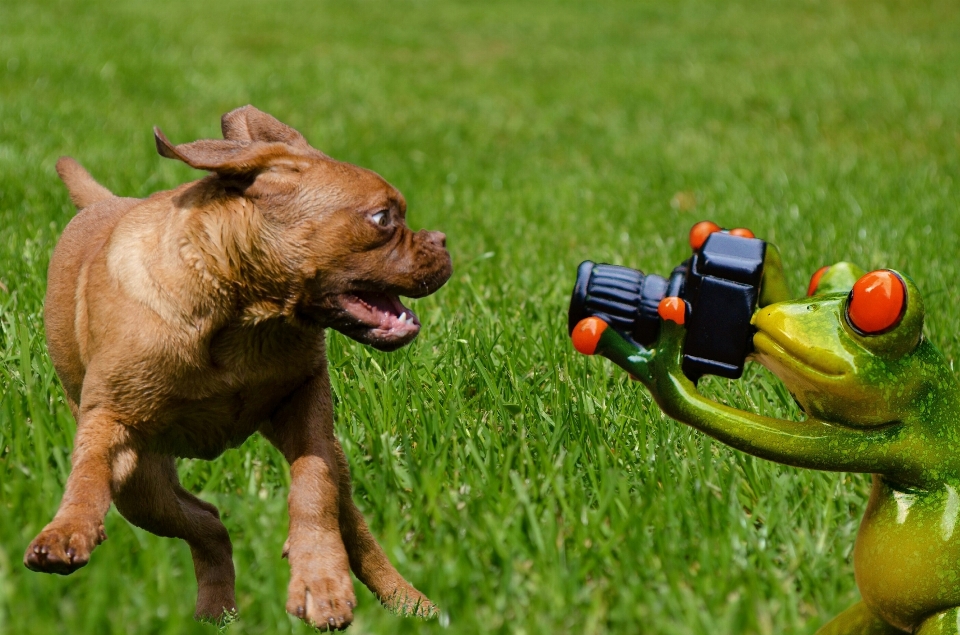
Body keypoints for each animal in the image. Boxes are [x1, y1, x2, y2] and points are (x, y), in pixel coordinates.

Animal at [25, 107, 454, 628]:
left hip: (325, 465)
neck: (242, 312)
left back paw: (408, 602)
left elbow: (313, 489)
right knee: (206, 521)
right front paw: (67, 528)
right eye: (383, 218)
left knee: (349, 527)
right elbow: (87, 476)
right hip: (142, 486)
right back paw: (217, 610)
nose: (442, 240)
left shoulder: (307, 407)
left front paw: (319, 579)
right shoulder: (110, 422)